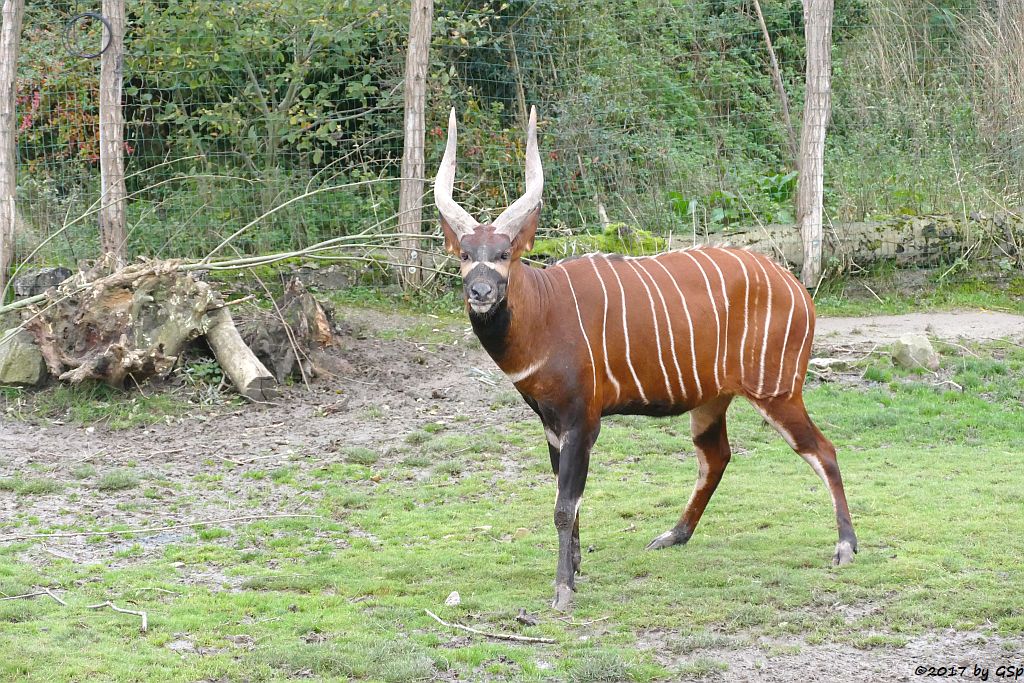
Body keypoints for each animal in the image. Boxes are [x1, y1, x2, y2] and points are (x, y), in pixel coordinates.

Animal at [434, 108, 856, 614]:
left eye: (503, 254)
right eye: (464, 255)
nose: (480, 292)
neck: (544, 310)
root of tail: (797, 288)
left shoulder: (582, 419)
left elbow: (564, 506)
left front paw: (563, 590)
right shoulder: (551, 424)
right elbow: (568, 501)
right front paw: (576, 569)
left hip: (777, 391)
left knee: (823, 450)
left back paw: (845, 547)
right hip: (711, 399)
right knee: (716, 458)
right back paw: (674, 535)